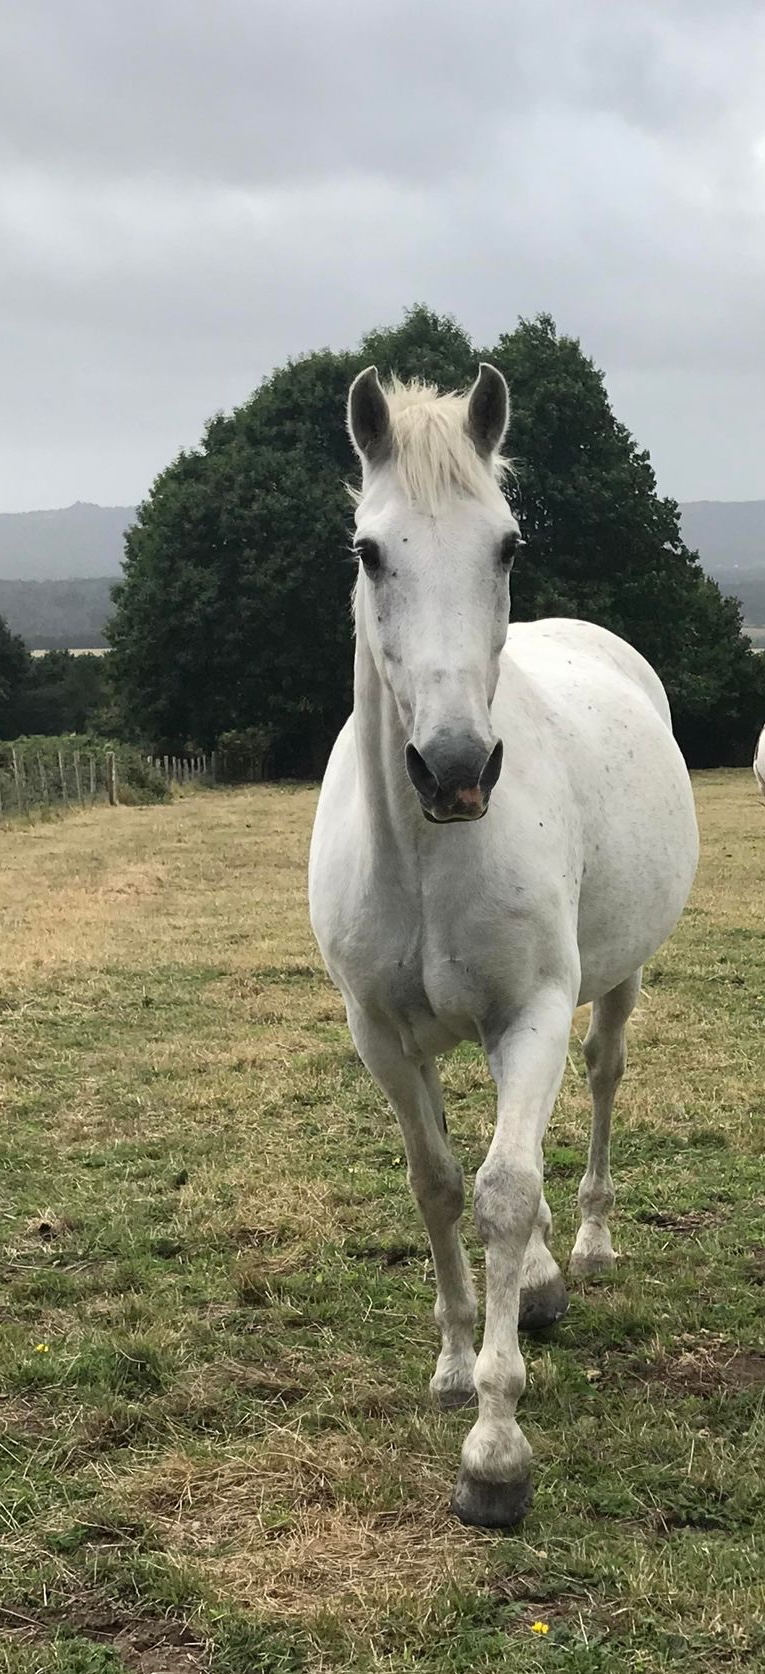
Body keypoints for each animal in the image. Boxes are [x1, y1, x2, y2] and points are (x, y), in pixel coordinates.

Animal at [308, 363, 699, 1528]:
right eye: (368, 550)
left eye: (507, 545)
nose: (453, 768)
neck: (424, 852)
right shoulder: (381, 1036)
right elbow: (439, 1185)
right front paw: (451, 1368)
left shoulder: (531, 1012)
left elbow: (506, 1192)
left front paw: (495, 1450)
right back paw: (530, 1287)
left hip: (611, 984)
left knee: (602, 1080)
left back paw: (587, 1249)